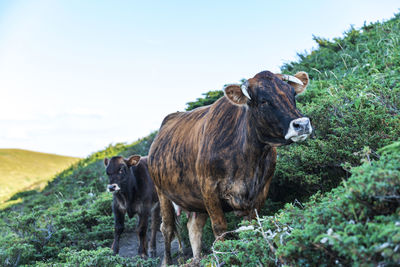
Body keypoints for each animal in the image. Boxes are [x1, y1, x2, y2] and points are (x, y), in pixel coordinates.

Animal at [148, 71, 310, 266]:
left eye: (292, 94)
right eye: (263, 101)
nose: (302, 124)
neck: (248, 161)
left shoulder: (261, 190)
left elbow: (250, 225)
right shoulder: (209, 189)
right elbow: (220, 228)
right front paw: (221, 255)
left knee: (194, 227)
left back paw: (197, 259)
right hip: (162, 193)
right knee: (167, 228)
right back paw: (167, 261)